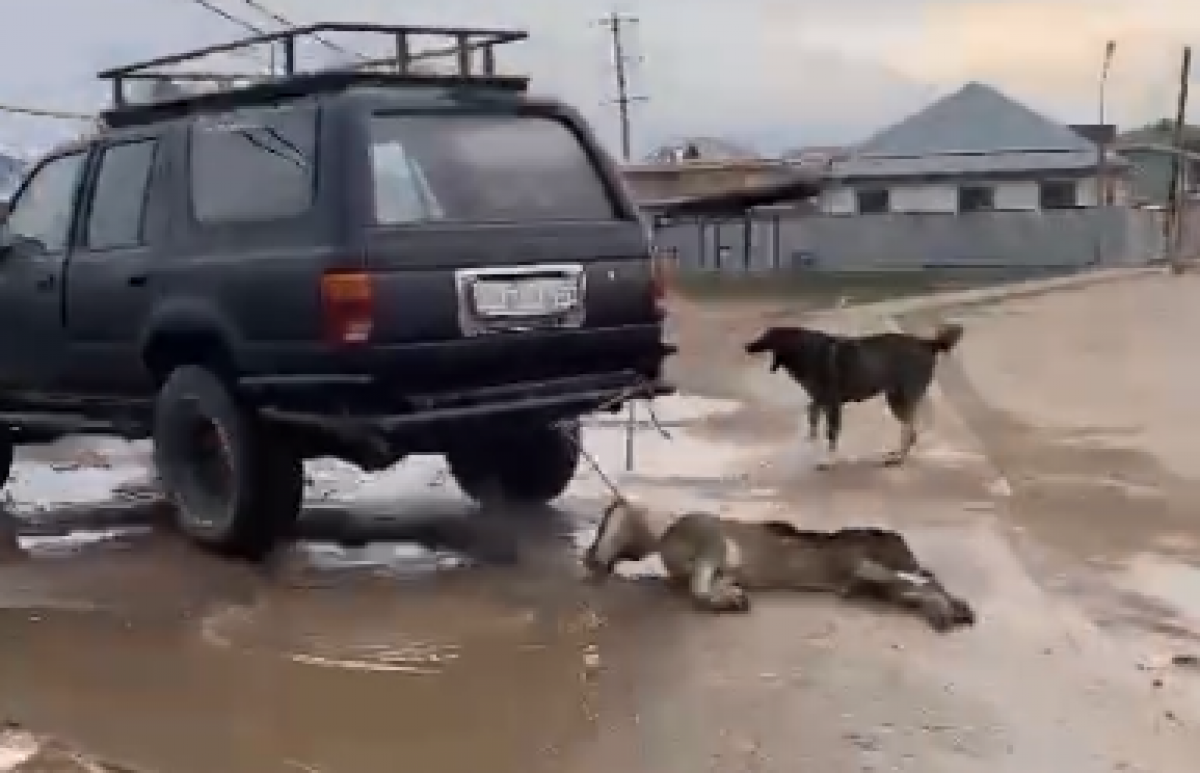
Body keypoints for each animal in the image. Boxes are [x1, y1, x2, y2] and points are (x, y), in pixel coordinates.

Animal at [744, 319, 960, 465]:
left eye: (766, 336)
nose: (746, 346)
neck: (805, 349)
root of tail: (927, 343)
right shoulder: (820, 400)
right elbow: (811, 414)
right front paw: (812, 438)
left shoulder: (832, 404)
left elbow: (831, 433)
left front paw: (828, 460)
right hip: (897, 398)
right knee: (911, 430)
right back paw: (897, 453)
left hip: (899, 398)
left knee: (909, 429)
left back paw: (898, 458)